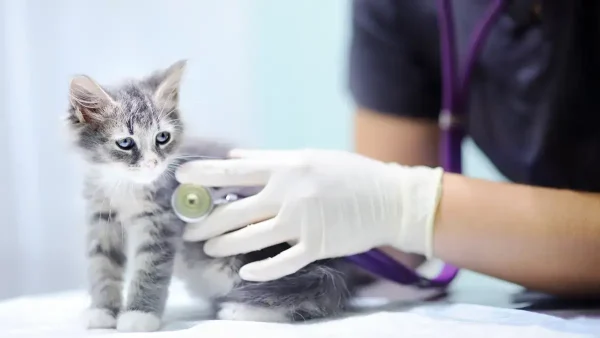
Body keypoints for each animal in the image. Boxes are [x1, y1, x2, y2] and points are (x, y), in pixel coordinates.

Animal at [65, 59, 372, 332]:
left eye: (162, 138)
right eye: (126, 143)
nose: (153, 164)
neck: (125, 186)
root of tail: (337, 267)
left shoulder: (162, 223)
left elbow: (149, 270)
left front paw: (139, 316)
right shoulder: (101, 218)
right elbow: (103, 266)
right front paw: (102, 312)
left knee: (312, 300)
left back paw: (240, 310)